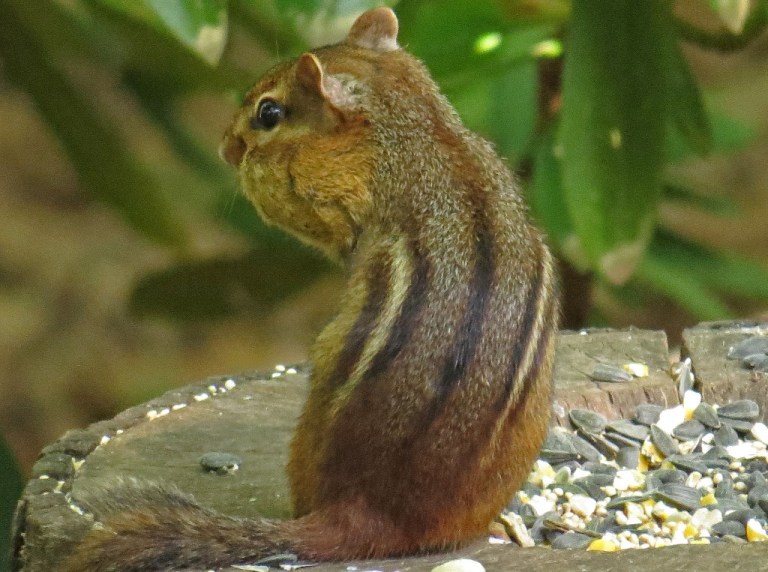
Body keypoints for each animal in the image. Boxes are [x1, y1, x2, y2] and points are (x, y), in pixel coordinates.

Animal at [63, 7, 559, 571]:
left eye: (269, 113)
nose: (224, 148)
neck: (416, 127)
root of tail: (375, 517)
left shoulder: (334, 194)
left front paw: (256, 168)